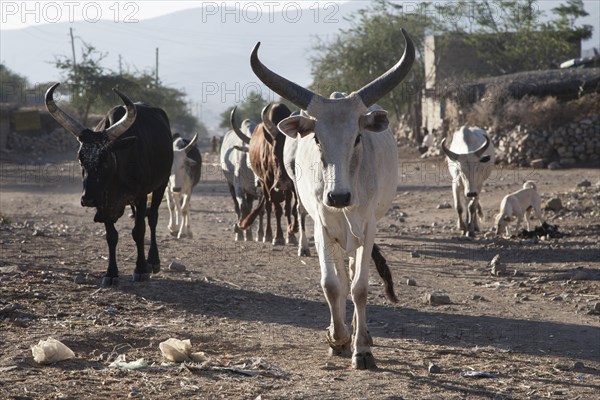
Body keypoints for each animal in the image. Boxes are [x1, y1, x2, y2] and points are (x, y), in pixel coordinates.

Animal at [45, 83, 172, 286]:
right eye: (80, 159)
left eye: (105, 158)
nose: (87, 200)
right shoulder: (103, 203)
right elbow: (111, 236)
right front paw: (111, 273)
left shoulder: (141, 196)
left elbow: (139, 231)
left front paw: (140, 269)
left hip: (162, 184)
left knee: (152, 218)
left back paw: (153, 261)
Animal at [251, 27, 414, 368]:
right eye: (316, 138)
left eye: (357, 137)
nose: (338, 196)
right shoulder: (322, 227)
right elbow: (331, 285)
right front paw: (337, 338)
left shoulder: (367, 227)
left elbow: (360, 288)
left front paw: (362, 348)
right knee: (339, 275)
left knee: (351, 274)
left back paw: (361, 334)